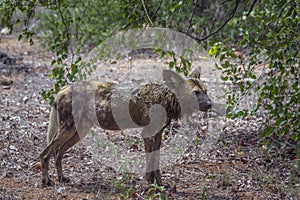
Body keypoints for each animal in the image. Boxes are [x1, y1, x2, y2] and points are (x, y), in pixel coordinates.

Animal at [39, 69, 212, 186]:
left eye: (205, 91)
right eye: (195, 93)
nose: (210, 104)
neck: (166, 99)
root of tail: (63, 88)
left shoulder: (157, 134)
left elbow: (155, 162)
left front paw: (159, 184)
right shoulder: (147, 134)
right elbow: (151, 162)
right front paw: (151, 185)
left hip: (77, 133)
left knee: (58, 154)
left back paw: (61, 178)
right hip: (67, 129)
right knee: (45, 153)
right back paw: (47, 181)